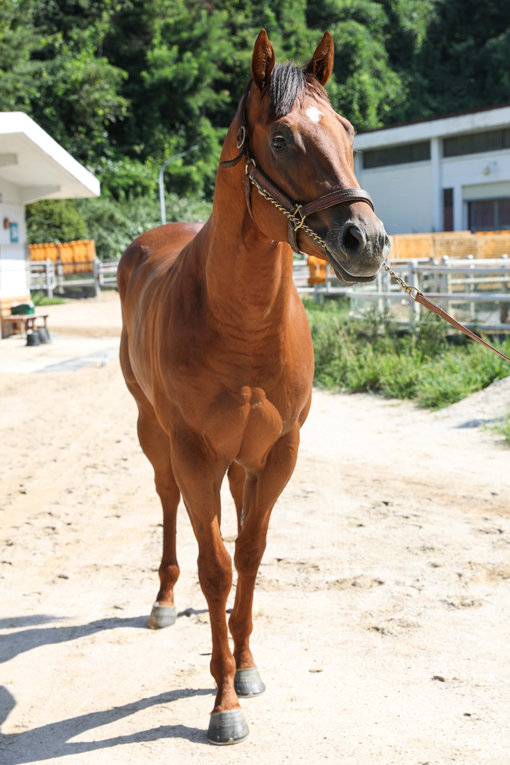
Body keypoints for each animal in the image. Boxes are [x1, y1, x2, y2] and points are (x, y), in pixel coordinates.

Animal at [118, 28, 390, 740]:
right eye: (282, 139)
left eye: (347, 131)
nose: (367, 241)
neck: (237, 320)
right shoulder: (196, 452)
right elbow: (215, 567)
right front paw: (223, 705)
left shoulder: (278, 452)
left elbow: (250, 555)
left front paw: (246, 669)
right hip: (156, 434)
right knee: (167, 504)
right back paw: (164, 600)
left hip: (240, 458)